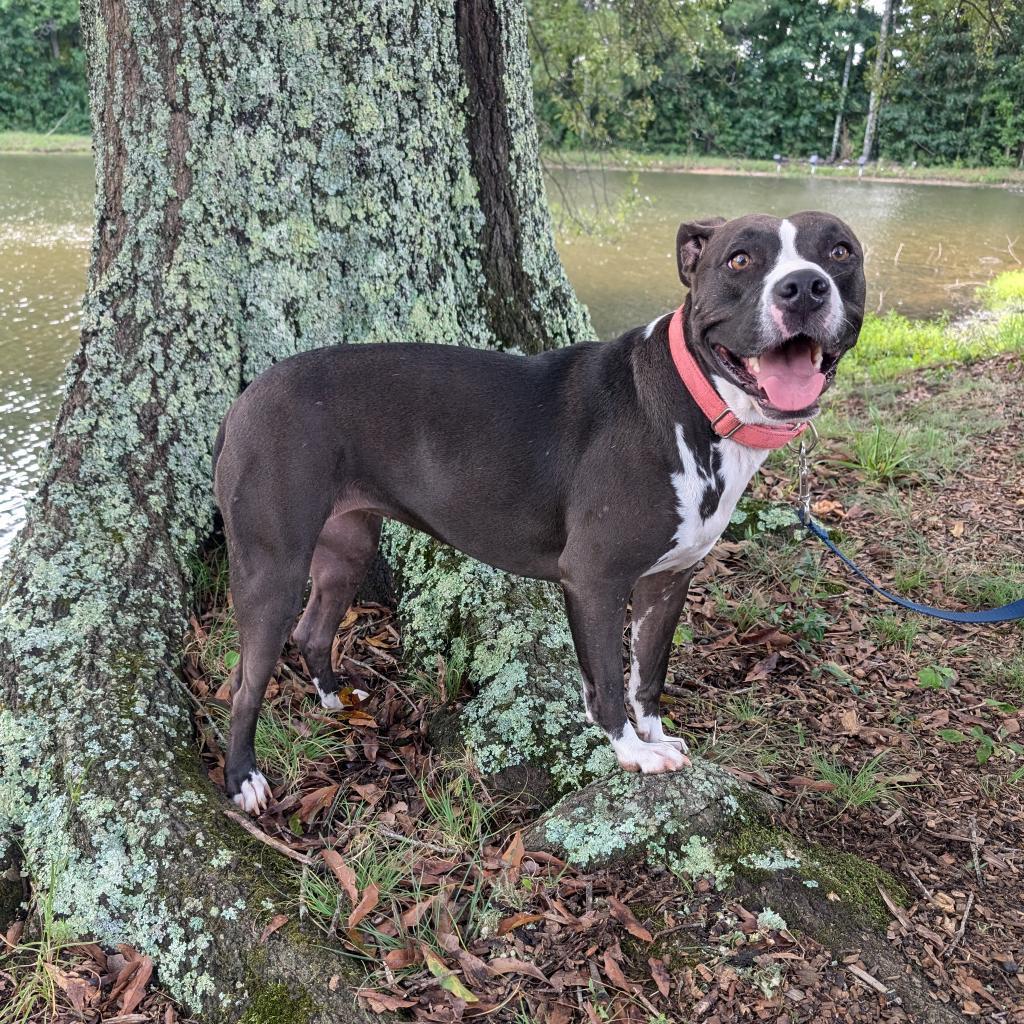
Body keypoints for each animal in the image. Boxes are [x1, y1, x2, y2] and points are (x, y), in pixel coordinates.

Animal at [214, 211, 864, 811]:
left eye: (840, 251)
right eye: (739, 259)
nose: (804, 287)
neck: (698, 404)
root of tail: (245, 398)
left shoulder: (668, 580)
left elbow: (648, 674)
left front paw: (655, 736)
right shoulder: (596, 579)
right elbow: (606, 681)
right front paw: (632, 752)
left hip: (347, 547)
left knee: (313, 629)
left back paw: (333, 699)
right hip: (272, 567)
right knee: (245, 682)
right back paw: (243, 780)